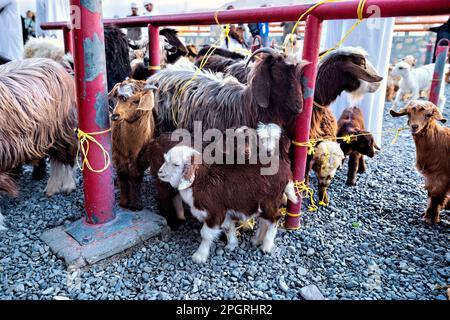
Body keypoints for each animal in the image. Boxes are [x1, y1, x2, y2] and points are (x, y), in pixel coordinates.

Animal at [109, 79, 158, 211]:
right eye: (117, 96)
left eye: (136, 101)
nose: (115, 115)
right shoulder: (118, 153)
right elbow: (123, 174)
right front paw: (124, 202)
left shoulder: (142, 156)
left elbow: (136, 176)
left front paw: (136, 204)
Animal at [158, 136, 296, 264]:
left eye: (176, 164)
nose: (159, 172)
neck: (201, 181)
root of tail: (287, 172)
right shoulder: (224, 211)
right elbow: (228, 227)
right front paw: (232, 245)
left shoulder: (214, 212)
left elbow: (205, 234)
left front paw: (199, 256)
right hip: (262, 205)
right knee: (264, 221)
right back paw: (257, 240)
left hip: (270, 201)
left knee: (275, 218)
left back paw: (266, 246)